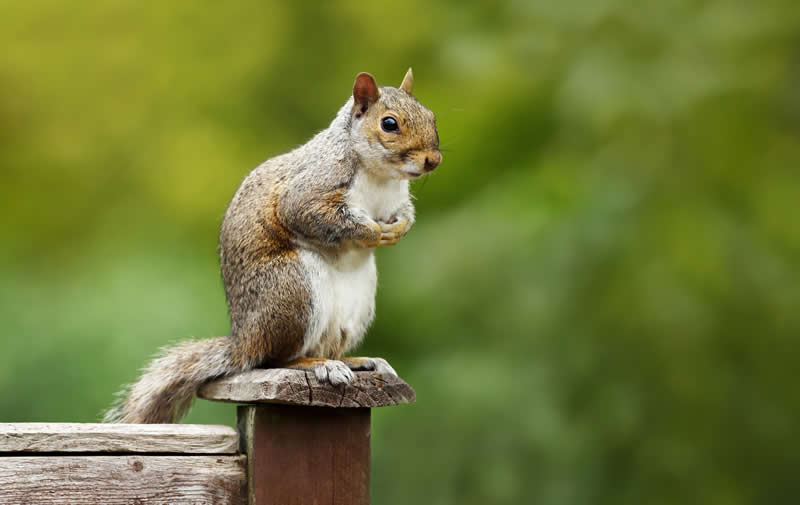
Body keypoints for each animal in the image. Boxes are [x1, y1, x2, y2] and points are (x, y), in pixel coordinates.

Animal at [104, 69, 441, 423]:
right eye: (389, 124)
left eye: (432, 116)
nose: (434, 160)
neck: (380, 175)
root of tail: (245, 340)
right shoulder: (311, 188)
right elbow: (310, 213)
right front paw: (372, 232)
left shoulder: (397, 199)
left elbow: (406, 214)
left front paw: (399, 228)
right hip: (293, 290)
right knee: (277, 359)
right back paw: (320, 365)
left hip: (356, 304)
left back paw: (354, 361)